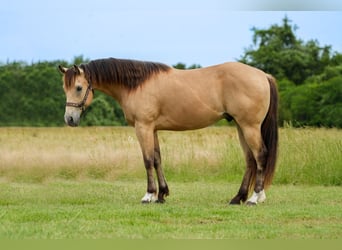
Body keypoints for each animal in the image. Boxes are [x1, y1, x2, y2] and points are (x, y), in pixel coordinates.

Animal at [58, 58, 278, 205]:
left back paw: (255, 198)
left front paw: (148, 195)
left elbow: (147, 160)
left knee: (260, 156)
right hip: (241, 126)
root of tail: (262, 75)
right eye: (65, 88)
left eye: (78, 88)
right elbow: (157, 159)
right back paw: (238, 197)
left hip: (250, 127)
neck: (136, 85)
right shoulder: (152, 129)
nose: (69, 119)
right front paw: (162, 195)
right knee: (250, 160)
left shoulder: (143, 127)